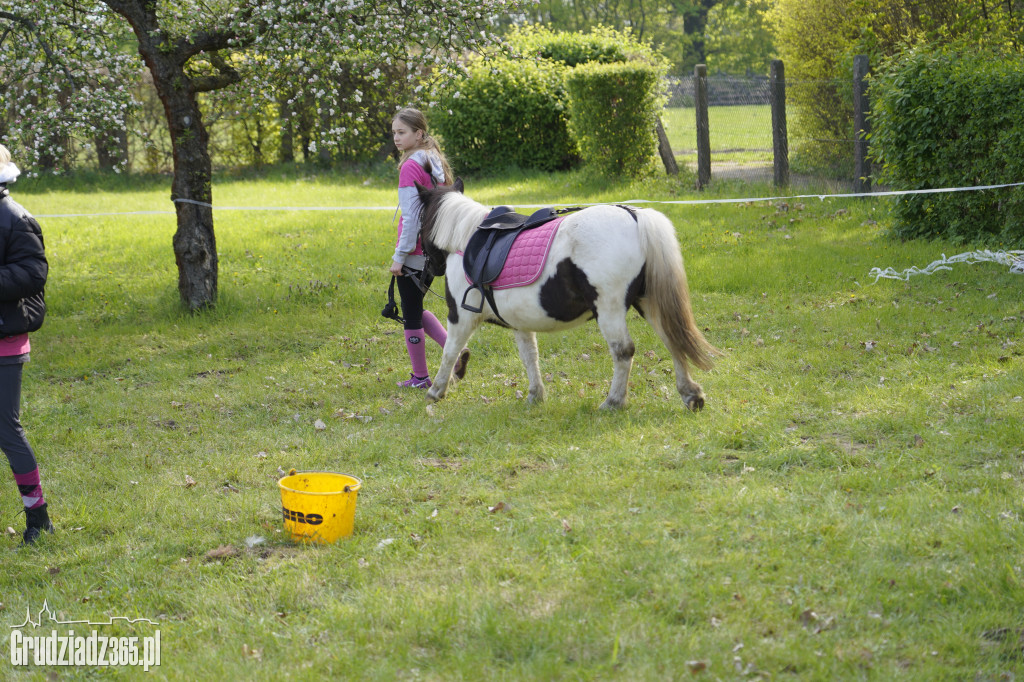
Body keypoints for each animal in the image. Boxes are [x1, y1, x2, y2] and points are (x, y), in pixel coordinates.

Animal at [415, 178, 720, 409]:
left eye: (419, 224)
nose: (423, 273)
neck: (466, 239)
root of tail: (634, 215)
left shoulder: (460, 318)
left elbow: (450, 351)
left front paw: (436, 391)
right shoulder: (520, 323)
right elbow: (530, 356)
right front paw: (535, 395)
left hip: (609, 310)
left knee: (623, 351)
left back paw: (613, 401)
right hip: (649, 302)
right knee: (673, 339)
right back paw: (690, 394)